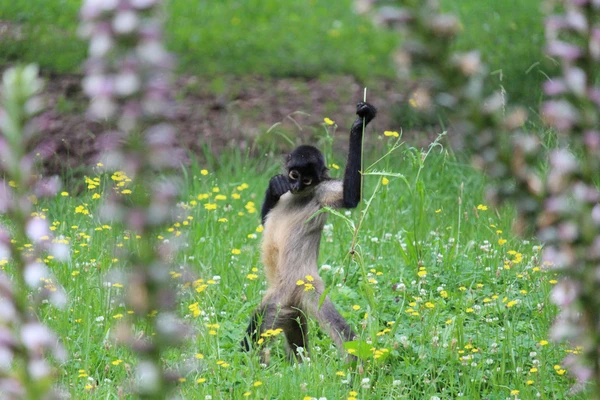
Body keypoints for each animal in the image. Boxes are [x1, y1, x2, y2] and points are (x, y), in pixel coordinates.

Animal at [241, 101, 378, 362]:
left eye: (306, 180)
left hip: (292, 295)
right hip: (288, 310)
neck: (299, 196)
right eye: (294, 175)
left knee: (256, 335)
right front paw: (275, 186)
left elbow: (350, 198)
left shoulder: (321, 192)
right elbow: (266, 218)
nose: (294, 186)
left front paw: (359, 126)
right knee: (294, 345)